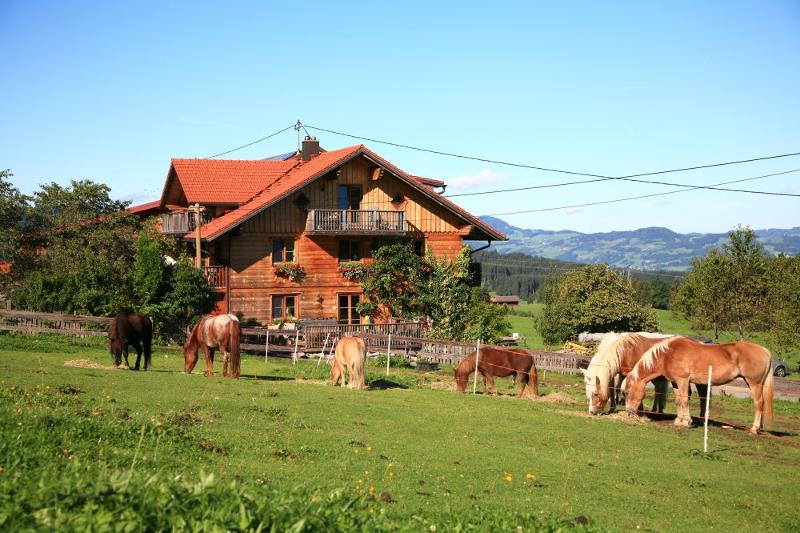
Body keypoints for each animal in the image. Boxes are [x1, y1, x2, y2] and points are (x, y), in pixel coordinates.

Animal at [624, 336, 776, 432]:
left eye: (626, 392)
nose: (629, 412)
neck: (668, 354)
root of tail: (765, 351)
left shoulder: (683, 380)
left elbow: (685, 401)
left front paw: (686, 421)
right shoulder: (675, 382)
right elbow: (679, 401)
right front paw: (679, 420)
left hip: (754, 384)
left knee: (759, 403)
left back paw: (754, 428)